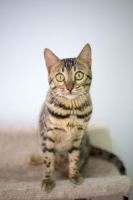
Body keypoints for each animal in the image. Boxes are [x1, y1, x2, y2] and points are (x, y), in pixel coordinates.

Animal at [28, 44, 128, 200]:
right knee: (45, 156)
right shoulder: (47, 136)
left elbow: (74, 158)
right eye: (60, 77)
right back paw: (36, 159)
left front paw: (74, 175)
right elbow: (48, 160)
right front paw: (48, 180)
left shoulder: (77, 138)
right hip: (41, 140)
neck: (71, 111)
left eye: (79, 75)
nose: (69, 87)